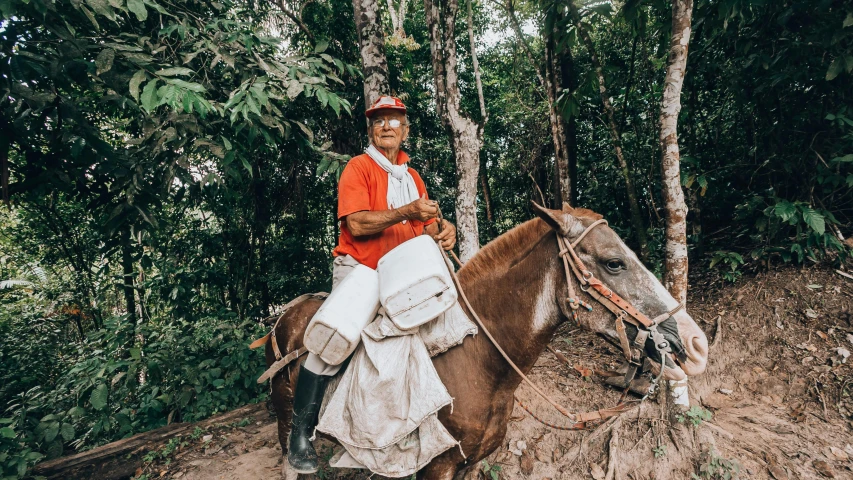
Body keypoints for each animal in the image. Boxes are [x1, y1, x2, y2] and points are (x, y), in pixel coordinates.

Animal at [266, 203, 704, 480]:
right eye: (614, 262)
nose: (696, 343)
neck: (477, 361)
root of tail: (285, 314)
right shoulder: (436, 467)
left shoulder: (472, 463)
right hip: (286, 417)